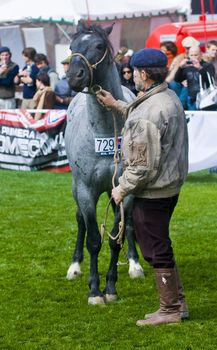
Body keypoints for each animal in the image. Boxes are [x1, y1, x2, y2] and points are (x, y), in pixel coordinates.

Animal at [65, 21, 143, 304]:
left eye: (99, 46)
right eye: (72, 47)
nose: (74, 77)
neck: (103, 132)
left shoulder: (124, 190)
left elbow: (115, 239)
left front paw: (110, 287)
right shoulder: (85, 190)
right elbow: (94, 240)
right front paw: (94, 291)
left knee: (128, 225)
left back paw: (134, 265)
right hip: (76, 188)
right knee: (79, 221)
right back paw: (75, 266)